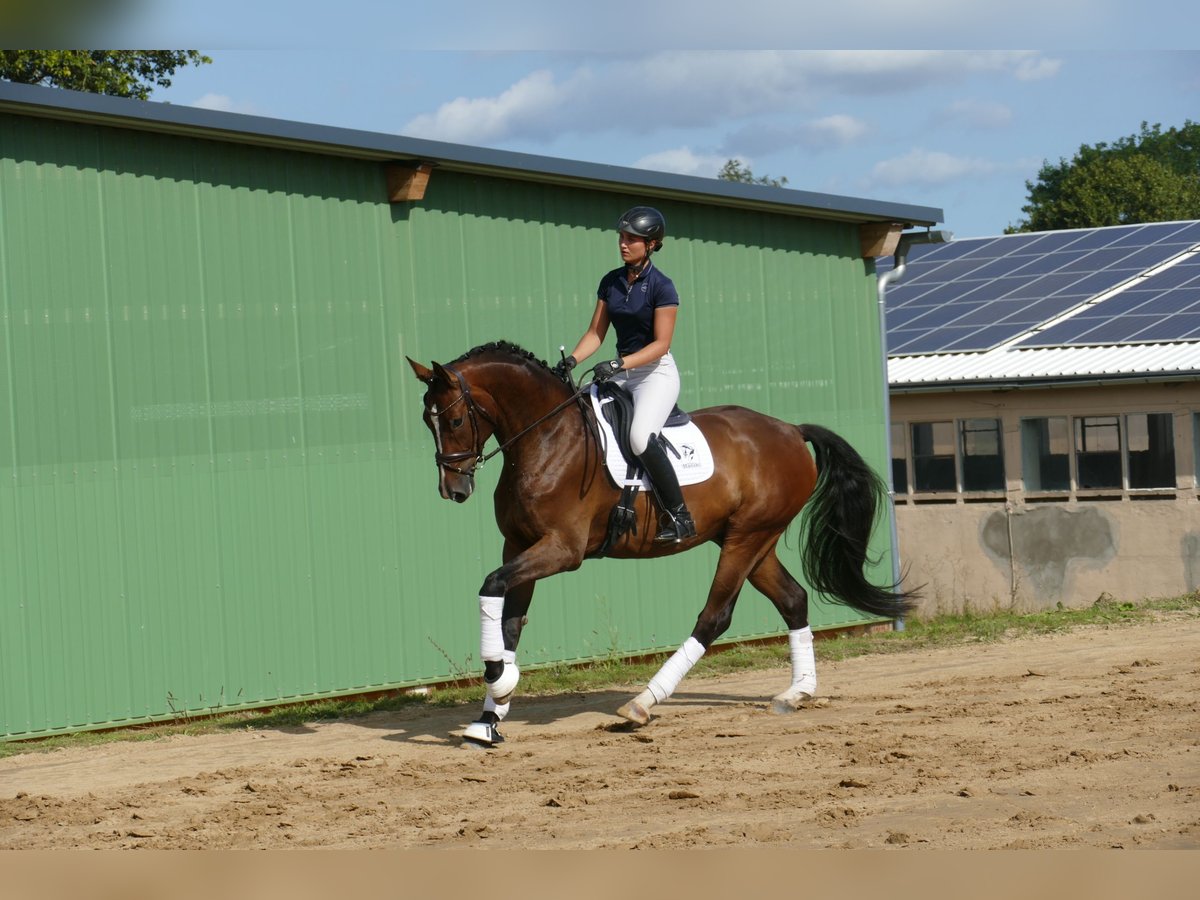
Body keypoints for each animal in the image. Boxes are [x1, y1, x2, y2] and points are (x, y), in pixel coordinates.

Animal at [408, 340, 912, 748]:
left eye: (455, 418)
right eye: (426, 422)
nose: (453, 490)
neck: (546, 437)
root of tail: (790, 429)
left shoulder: (561, 550)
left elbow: (491, 587)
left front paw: (499, 678)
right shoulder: (518, 545)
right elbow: (510, 620)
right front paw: (491, 715)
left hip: (747, 538)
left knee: (714, 617)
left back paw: (643, 703)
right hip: (753, 539)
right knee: (792, 600)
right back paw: (796, 692)